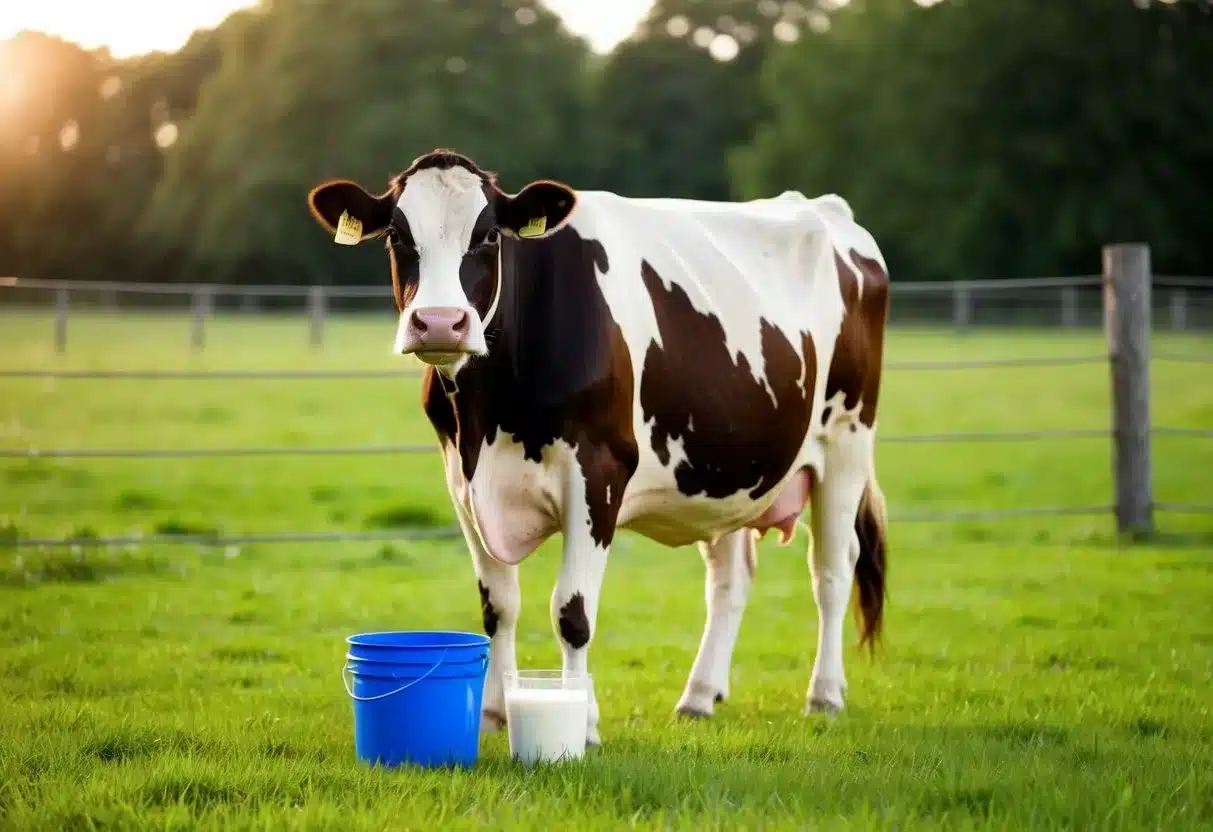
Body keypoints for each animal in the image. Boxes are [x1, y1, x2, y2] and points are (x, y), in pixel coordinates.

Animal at [307, 149, 890, 745]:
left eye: (489, 235)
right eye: (397, 236)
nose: (441, 323)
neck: (490, 414)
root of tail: (827, 210)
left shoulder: (598, 473)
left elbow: (572, 613)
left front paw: (581, 723)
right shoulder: (462, 482)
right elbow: (499, 608)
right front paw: (493, 715)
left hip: (846, 441)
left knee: (832, 569)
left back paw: (824, 694)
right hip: (724, 468)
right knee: (730, 579)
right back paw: (699, 696)